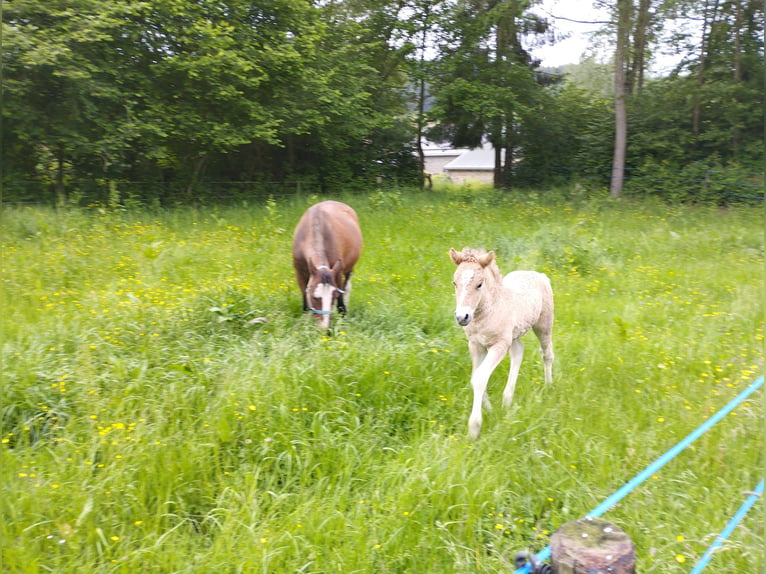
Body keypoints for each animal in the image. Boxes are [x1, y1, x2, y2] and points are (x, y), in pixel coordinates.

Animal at [448, 248, 556, 440]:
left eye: (479, 284)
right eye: (454, 282)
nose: (462, 317)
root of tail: (538, 274)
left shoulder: (499, 345)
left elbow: (480, 377)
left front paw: (474, 428)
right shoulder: (475, 345)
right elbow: (476, 376)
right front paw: (490, 409)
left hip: (543, 324)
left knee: (547, 353)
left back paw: (548, 387)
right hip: (513, 335)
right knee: (518, 351)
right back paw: (507, 400)